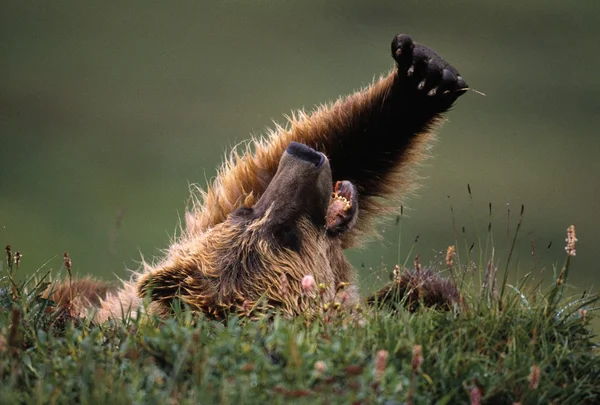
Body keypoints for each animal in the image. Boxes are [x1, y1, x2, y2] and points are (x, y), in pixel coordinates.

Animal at [49, 33, 466, 320]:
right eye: (288, 236)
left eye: (244, 213)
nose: (302, 154)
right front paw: (428, 292)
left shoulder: (195, 235)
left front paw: (422, 76)